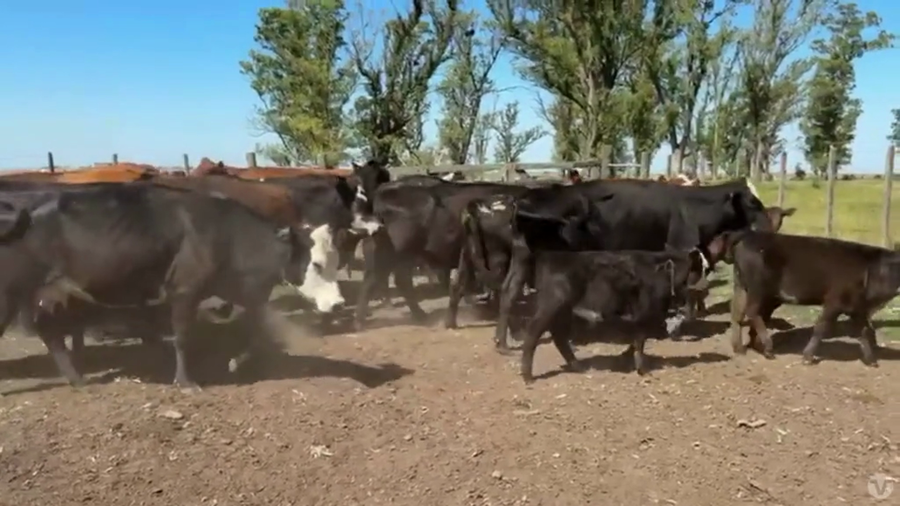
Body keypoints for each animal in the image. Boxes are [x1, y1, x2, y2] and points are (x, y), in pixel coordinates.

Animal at [0, 182, 329, 388]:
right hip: (12, 293)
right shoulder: (185, 291)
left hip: (50, 292)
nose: (335, 303)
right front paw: (186, 381)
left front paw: (238, 362)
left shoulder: (240, 291)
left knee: (50, 330)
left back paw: (77, 379)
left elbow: (257, 330)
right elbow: (182, 337)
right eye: (316, 263)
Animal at [519, 248, 709, 382]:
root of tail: (549, 256)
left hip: (563, 311)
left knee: (558, 336)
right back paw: (528, 377)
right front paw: (642, 370)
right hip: (551, 306)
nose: (706, 287)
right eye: (700, 268)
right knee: (533, 333)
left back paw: (577, 366)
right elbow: (640, 340)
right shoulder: (644, 314)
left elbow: (637, 341)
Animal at [718, 230, 900, 366]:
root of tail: (749, 236)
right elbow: (821, 327)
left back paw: (740, 348)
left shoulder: (858, 308)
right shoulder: (834, 302)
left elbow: (863, 331)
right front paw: (808, 356)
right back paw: (767, 348)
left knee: (737, 314)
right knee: (752, 312)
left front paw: (871, 360)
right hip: (758, 289)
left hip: (742, 287)